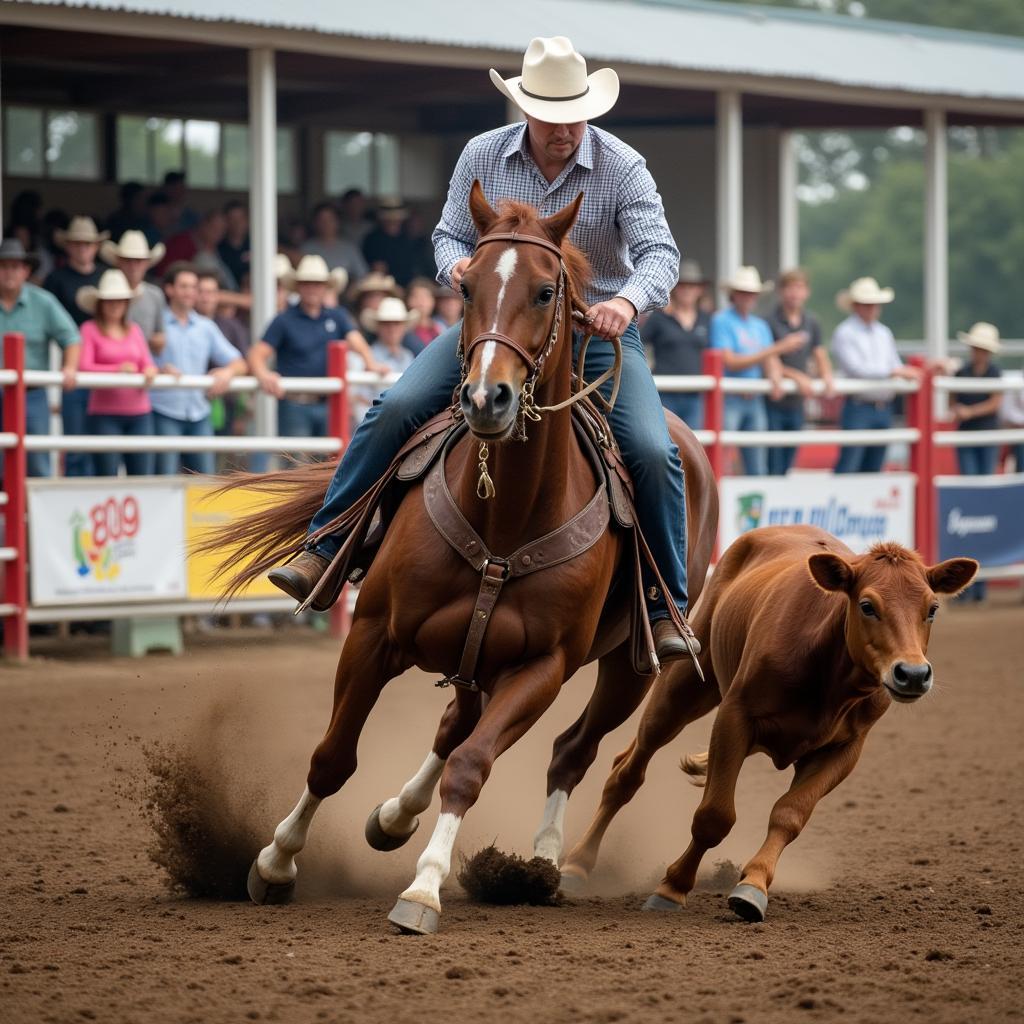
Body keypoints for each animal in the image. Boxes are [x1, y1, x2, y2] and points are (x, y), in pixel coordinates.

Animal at [212, 186, 716, 937]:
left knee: (570, 749)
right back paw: (394, 817)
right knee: (455, 725)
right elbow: (334, 756)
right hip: (475, 657)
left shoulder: (541, 667)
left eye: (545, 292)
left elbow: (472, 767)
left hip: (626, 668)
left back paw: (544, 859)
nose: (486, 397)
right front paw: (276, 862)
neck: (504, 515)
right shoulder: (375, 634)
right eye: (467, 286)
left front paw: (423, 889)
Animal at [561, 524, 974, 925]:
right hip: (682, 689)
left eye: (932, 609)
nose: (913, 674)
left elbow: (789, 815)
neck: (828, 673)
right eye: (868, 605)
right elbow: (714, 816)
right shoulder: (735, 718)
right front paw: (672, 887)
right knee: (626, 772)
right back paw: (576, 865)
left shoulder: (843, 751)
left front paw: (753, 886)